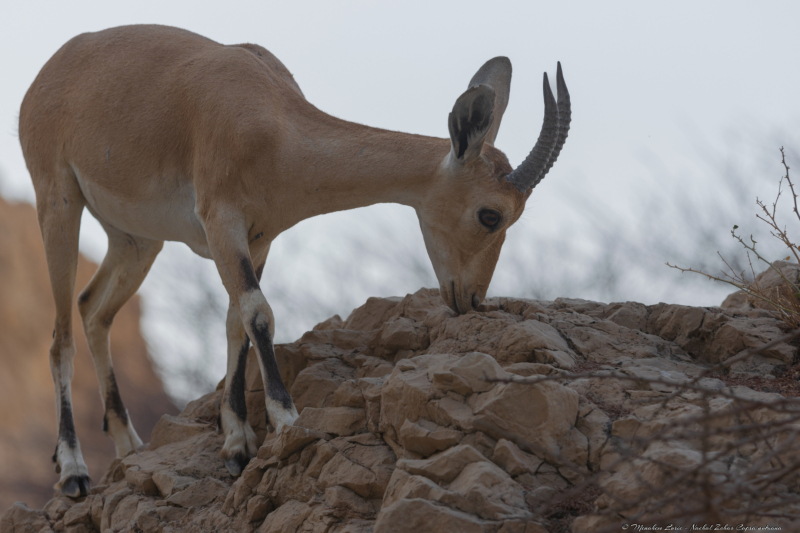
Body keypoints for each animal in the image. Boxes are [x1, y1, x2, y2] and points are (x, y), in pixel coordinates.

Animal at [19, 24, 570, 497]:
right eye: (491, 215)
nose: (470, 299)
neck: (274, 120)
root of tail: (47, 75)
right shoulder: (221, 222)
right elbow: (259, 314)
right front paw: (286, 421)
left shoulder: (258, 240)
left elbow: (236, 324)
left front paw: (237, 443)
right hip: (58, 204)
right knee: (61, 336)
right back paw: (74, 471)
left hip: (135, 240)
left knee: (92, 308)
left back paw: (128, 446)